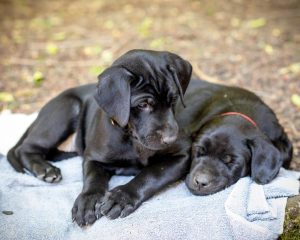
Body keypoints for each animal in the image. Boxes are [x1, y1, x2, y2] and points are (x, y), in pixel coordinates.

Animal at [8, 49, 195, 226]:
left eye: (174, 99)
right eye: (143, 104)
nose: (171, 139)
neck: (131, 138)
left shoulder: (182, 155)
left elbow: (151, 174)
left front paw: (122, 197)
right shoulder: (93, 157)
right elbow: (93, 179)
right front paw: (88, 201)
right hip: (67, 108)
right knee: (25, 148)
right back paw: (45, 169)